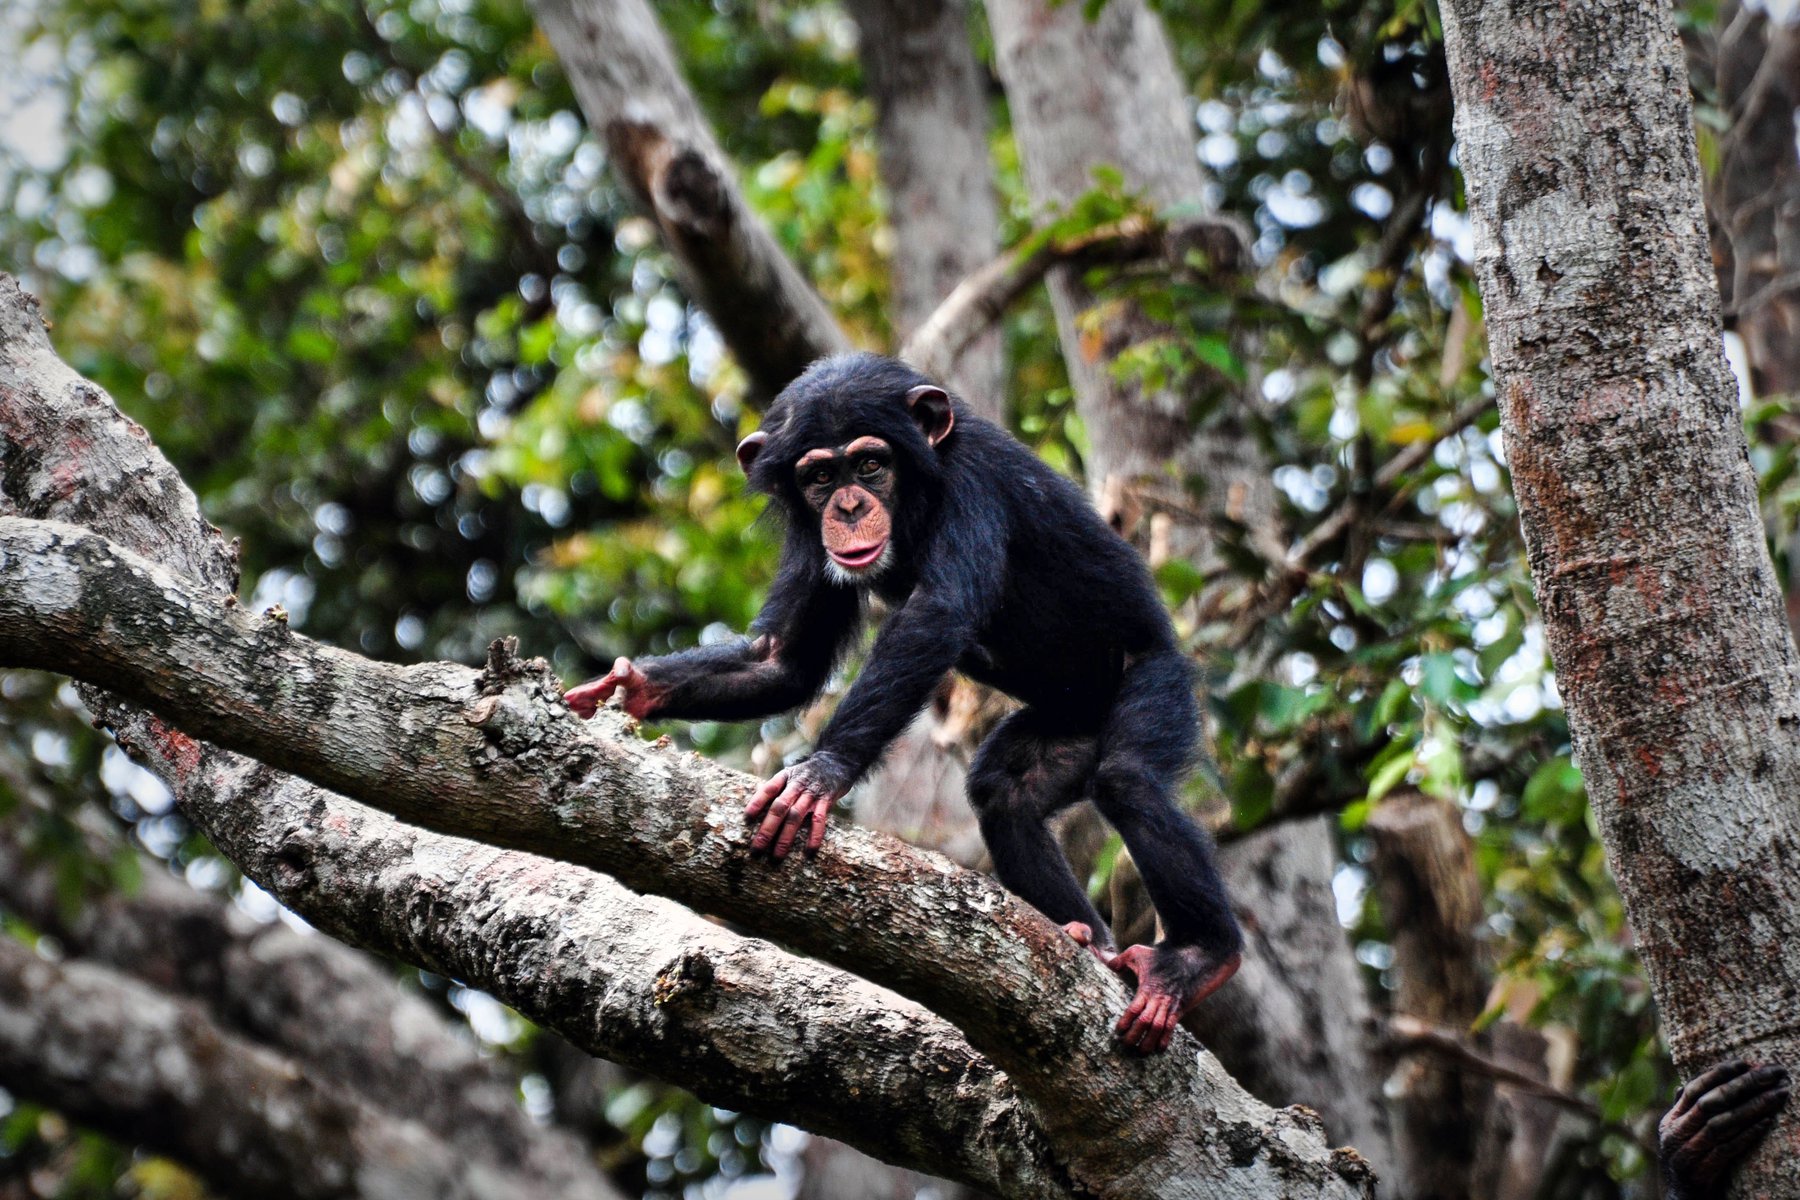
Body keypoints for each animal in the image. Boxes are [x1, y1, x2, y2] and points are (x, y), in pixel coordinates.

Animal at [568, 352, 1245, 1043]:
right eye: (818, 476)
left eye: (871, 463)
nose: (846, 505)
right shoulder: (808, 536)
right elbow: (785, 661)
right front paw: (633, 687)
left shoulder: (975, 481)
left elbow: (935, 614)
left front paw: (818, 775)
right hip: (1071, 723)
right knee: (1004, 792)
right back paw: (1083, 936)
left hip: (1157, 680)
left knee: (1127, 779)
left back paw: (1199, 957)